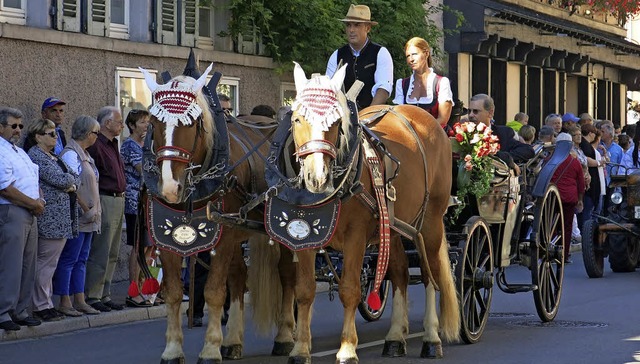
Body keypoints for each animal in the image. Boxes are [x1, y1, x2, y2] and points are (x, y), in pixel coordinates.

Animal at [139, 55, 296, 362]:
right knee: (239, 278)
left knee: (286, 275)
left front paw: (210, 348)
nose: (170, 187)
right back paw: (233, 340)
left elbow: (213, 291)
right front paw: (173, 350)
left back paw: (285, 336)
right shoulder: (166, 239)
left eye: (192, 122)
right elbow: (173, 292)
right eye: (154, 120)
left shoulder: (222, 239)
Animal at [250, 64, 460, 362]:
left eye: (337, 122)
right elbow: (304, 291)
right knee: (401, 274)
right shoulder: (305, 238)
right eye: (298, 119)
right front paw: (300, 349)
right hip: (394, 228)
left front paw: (347, 348)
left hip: (429, 223)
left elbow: (350, 289)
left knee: (432, 275)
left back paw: (431, 338)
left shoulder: (355, 238)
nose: (317, 177)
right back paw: (395, 337)